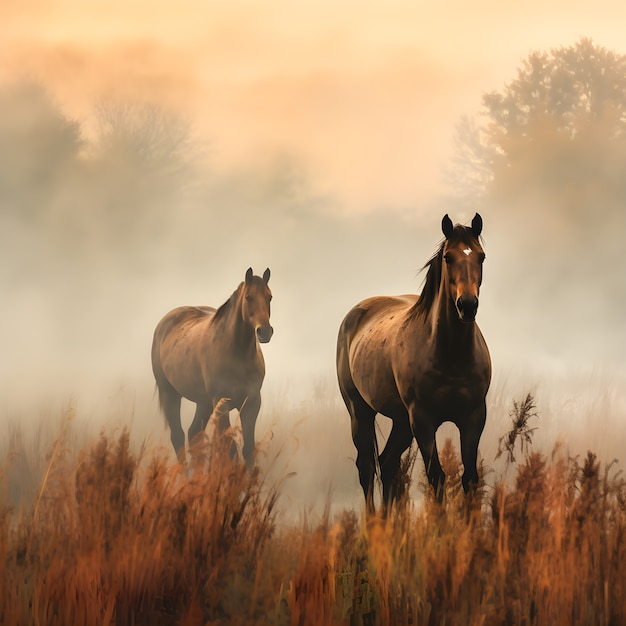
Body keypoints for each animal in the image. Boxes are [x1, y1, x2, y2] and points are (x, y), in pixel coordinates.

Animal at [151, 266, 270, 466]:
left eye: (270, 297)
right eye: (248, 297)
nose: (265, 332)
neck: (238, 354)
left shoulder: (252, 402)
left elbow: (248, 450)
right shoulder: (222, 404)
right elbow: (230, 450)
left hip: (203, 402)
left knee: (194, 434)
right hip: (170, 394)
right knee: (178, 436)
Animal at [334, 212, 490, 510]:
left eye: (481, 257)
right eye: (448, 257)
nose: (467, 305)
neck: (450, 354)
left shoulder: (473, 417)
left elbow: (470, 479)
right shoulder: (423, 420)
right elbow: (437, 477)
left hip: (401, 421)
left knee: (387, 463)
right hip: (360, 411)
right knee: (366, 467)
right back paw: (372, 521)